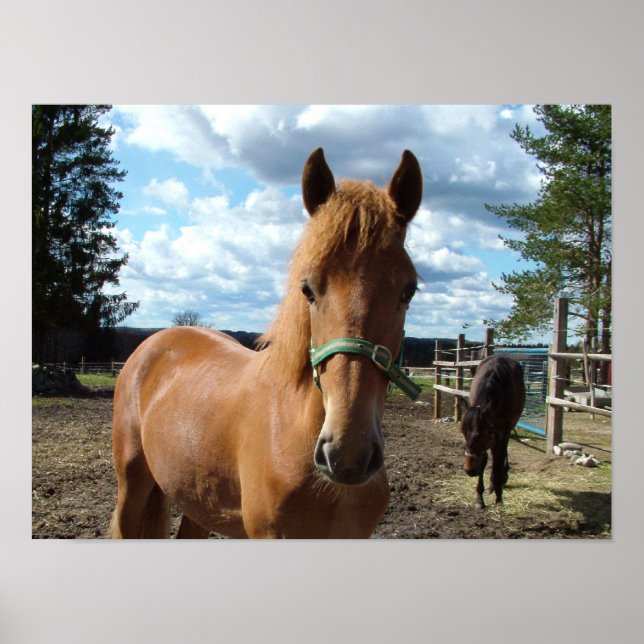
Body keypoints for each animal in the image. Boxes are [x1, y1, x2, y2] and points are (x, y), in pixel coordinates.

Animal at [110, 147, 424, 538]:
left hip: (198, 501)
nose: (347, 453)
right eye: (308, 289)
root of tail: (151, 345)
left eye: (408, 291)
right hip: (131, 485)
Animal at [457, 354, 526, 509]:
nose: (469, 470)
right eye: (463, 433)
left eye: (480, 433)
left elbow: (498, 459)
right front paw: (479, 498)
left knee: (501, 454)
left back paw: (500, 479)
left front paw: (499, 497)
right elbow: (484, 460)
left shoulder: (502, 432)